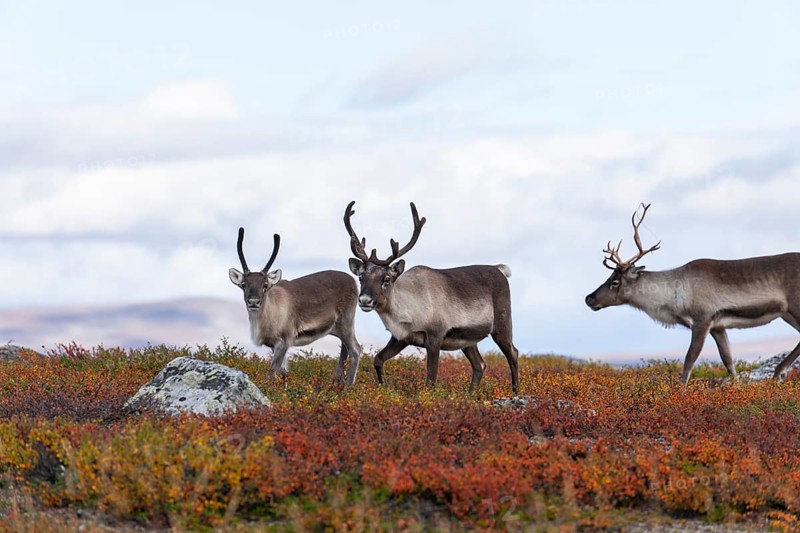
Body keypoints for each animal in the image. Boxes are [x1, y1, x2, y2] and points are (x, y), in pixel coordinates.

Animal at [229, 227, 362, 384]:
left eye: (265, 285)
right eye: (244, 285)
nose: (253, 301)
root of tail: (354, 281)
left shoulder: (284, 341)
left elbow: (271, 374)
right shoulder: (275, 346)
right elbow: (283, 374)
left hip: (346, 322)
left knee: (356, 350)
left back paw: (348, 386)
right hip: (337, 329)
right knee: (344, 351)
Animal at [343, 201, 519, 393]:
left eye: (386, 279)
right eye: (361, 277)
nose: (365, 300)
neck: (405, 311)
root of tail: (500, 269)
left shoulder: (435, 337)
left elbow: (431, 380)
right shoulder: (400, 338)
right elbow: (378, 359)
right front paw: (386, 389)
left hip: (502, 324)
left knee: (513, 353)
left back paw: (516, 391)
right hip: (467, 340)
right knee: (479, 364)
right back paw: (471, 395)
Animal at [585, 203, 800, 384]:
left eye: (615, 282)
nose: (589, 298)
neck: (673, 295)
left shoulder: (702, 321)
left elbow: (689, 359)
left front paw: (680, 390)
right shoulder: (718, 327)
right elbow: (728, 360)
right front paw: (738, 387)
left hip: (794, 307)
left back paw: (778, 371)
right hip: (787, 314)